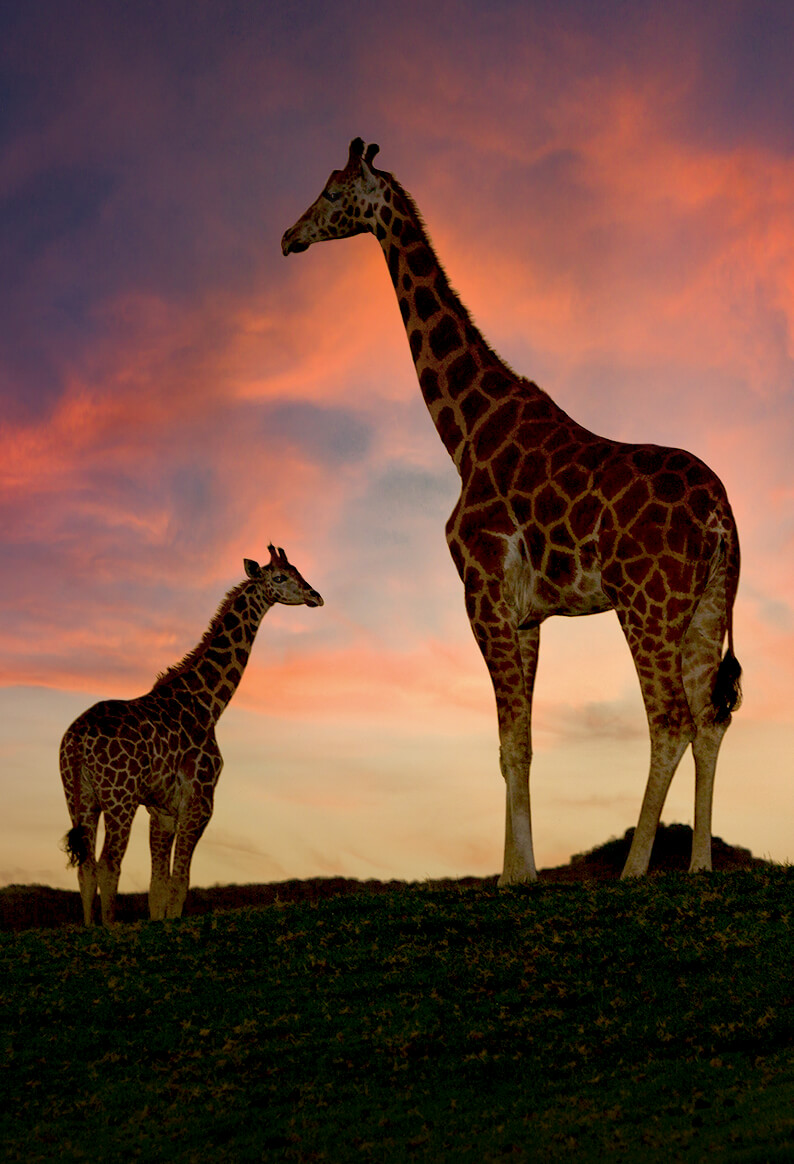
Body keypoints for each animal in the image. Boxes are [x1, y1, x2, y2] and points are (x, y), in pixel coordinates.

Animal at [60, 547, 323, 926]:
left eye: (297, 570)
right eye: (279, 577)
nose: (315, 596)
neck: (209, 703)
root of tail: (77, 741)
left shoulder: (162, 810)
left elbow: (158, 886)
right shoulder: (199, 801)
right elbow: (180, 882)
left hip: (79, 799)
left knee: (86, 868)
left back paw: (91, 928)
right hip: (119, 797)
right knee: (109, 865)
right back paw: (110, 929)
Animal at [281, 136, 740, 879]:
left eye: (331, 191)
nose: (289, 238)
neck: (465, 433)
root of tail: (723, 516)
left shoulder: (482, 595)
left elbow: (507, 744)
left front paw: (510, 875)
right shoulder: (527, 616)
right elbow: (520, 744)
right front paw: (519, 871)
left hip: (647, 603)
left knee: (670, 718)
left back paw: (633, 870)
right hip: (707, 605)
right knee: (710, 717)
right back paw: (698, 865)